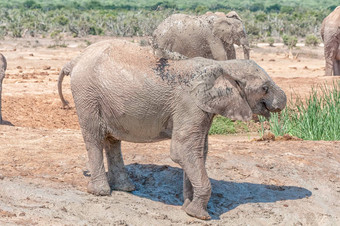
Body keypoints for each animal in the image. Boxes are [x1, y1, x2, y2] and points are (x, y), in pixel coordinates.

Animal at [67, 39, 286, 220]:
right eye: (265, 88)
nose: (282, 100)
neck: (223, 67)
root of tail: (76, 59)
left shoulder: (202, 109)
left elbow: (198, 152)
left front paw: (187, 208)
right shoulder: (190, 105)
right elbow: (183, 150)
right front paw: (200, 216)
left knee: (112, 140)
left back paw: (125, 188)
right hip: (86, 93)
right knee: (94, 137)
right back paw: (101, 192)